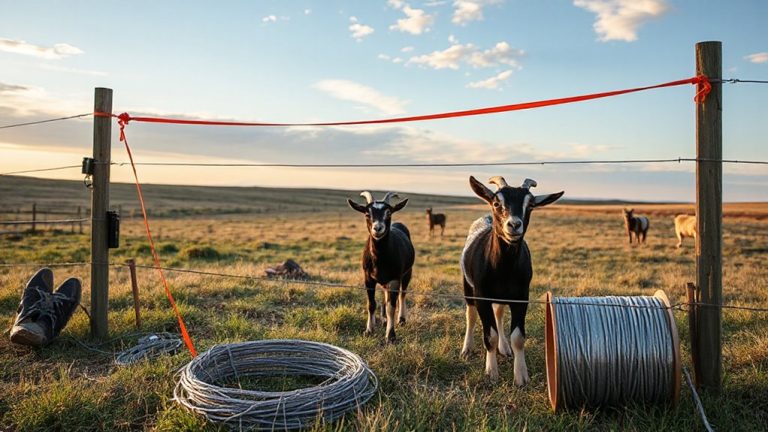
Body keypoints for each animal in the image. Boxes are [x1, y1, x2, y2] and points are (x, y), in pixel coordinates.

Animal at [348, 191, 414, 343]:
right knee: (385, 295)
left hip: (407, 273)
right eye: (367, 213)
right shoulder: (368, 278)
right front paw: (369, 330)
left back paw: (401, 319)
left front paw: (390, 335)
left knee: (402, 294)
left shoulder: (394, 278)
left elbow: (391, 306)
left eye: (388, 212)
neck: (380, 258)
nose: (378, 228)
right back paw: (383, 319)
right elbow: (371, 304)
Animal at [460, 176, 563, 385]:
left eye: (530, 205)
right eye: (497, 202)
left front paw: (521, 376)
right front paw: (491, 372)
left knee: (499, 313)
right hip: (468, 287)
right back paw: (467, 348)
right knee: (471, 314)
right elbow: (489, 335)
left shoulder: (521, 296)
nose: (514, 225)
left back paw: (504, 348)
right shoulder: (482, 295)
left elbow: (518, 337)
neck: (503, 268)